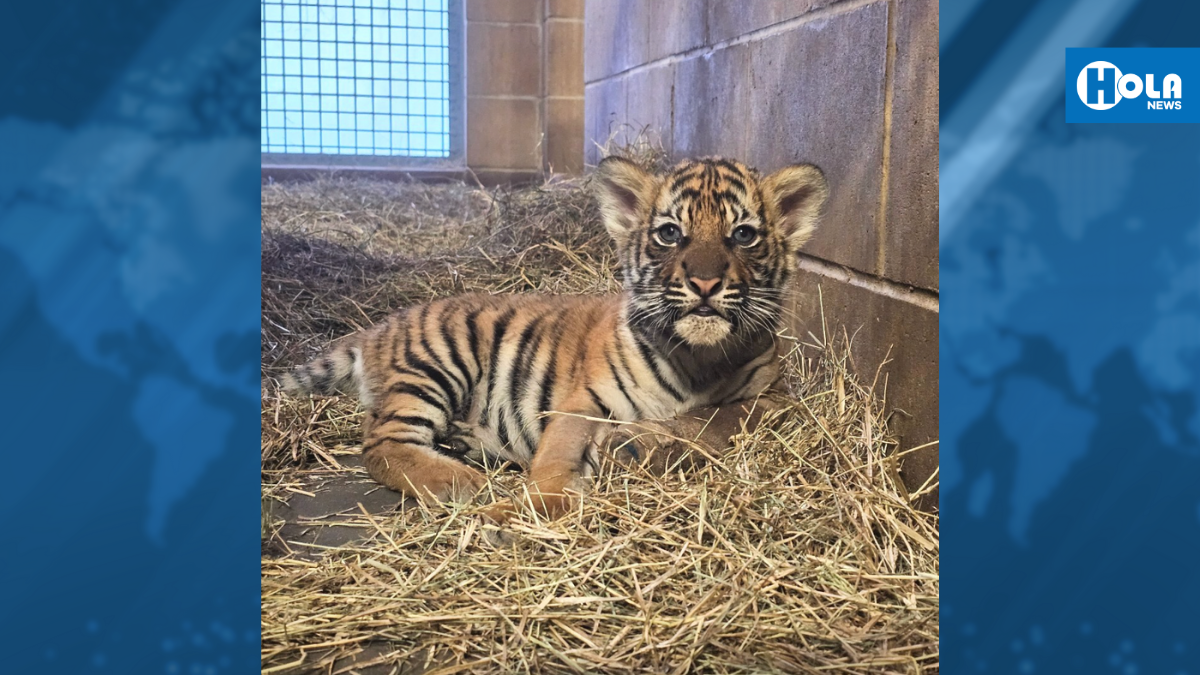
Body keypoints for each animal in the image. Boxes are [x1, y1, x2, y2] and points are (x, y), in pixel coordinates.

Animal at [279, 155, 829, 523]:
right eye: (670, 233)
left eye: (743, 235)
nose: (706, 283)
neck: (698, 357)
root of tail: (379, 326)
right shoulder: (582, 400)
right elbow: (557, 456)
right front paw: (529, 509)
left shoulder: (776, 399)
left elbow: (717, 421)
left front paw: (635, 446)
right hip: (438, 361)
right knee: (381, 442)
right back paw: (460, 482)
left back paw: (464, 450)